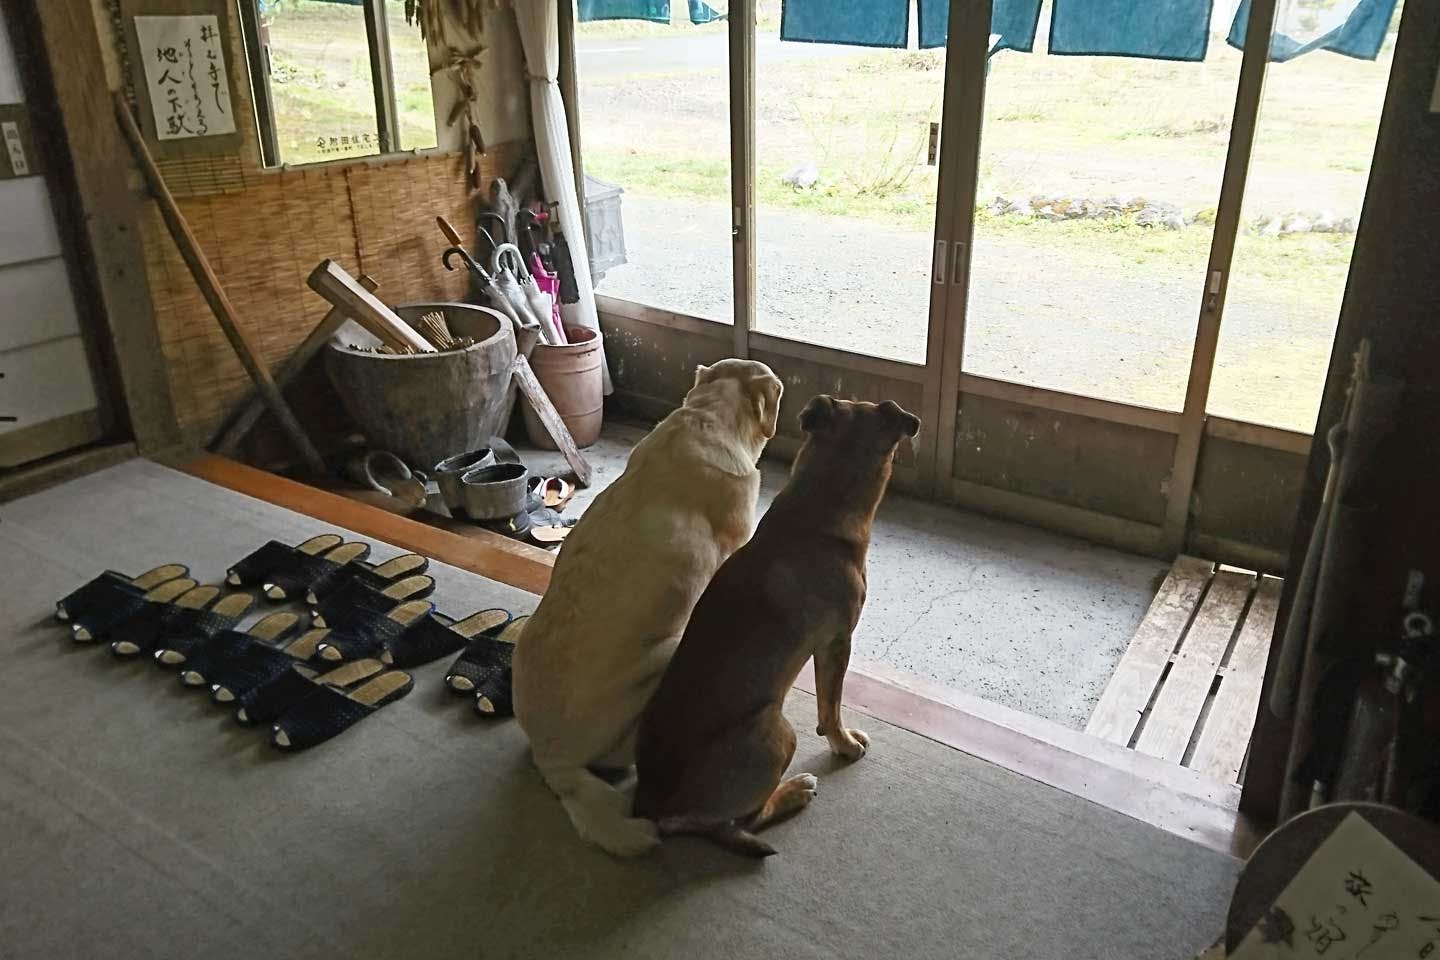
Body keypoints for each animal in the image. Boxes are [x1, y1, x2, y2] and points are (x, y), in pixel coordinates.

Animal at [633, 394, 921, 857]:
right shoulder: (837, 642)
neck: (818, 511)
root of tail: (657, 809)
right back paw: (795, 792)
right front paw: (845, 745)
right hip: (778, 732)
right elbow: (831, 707)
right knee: (748, 818)